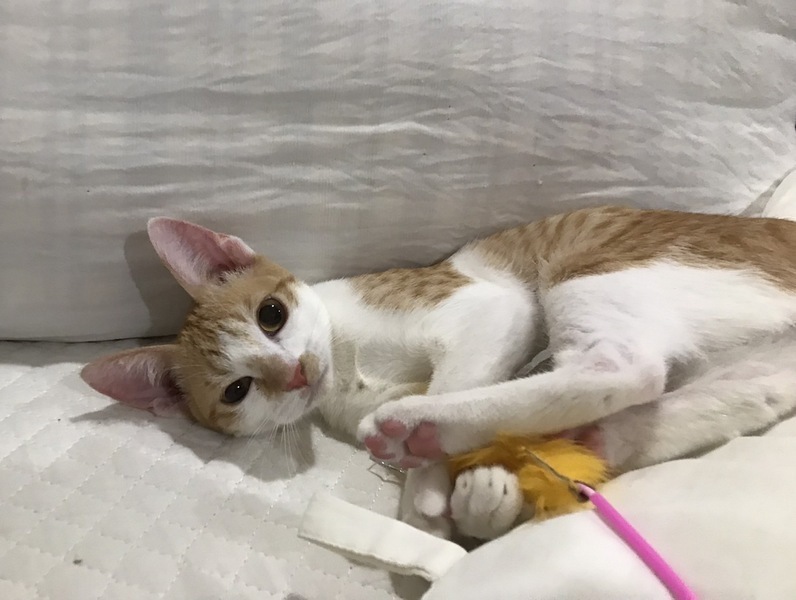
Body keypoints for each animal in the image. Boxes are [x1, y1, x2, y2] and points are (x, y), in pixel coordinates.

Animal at [82, 185, 796, 541]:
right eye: (237, 390)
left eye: (271, 316)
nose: (298, 375)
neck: (347, 366)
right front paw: (450, 496)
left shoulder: (491, 307)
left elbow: (459, 370)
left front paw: (425, 486)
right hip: (749, 370)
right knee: (717, 396)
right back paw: (589, 439)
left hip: (591, 267)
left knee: (624, 368)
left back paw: (421, 426)